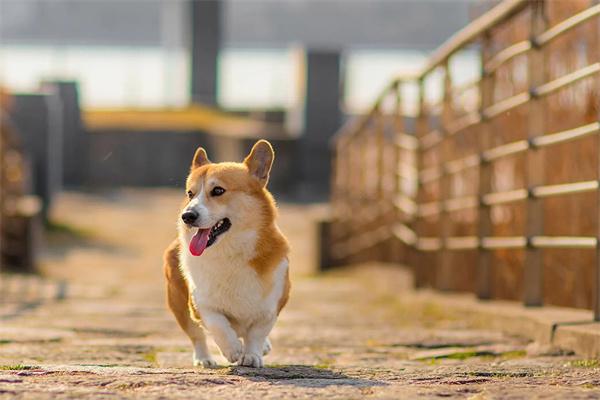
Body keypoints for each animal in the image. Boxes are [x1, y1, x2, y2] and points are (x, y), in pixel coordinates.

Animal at [162, 141, 288, 368]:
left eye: (218, 190)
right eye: (190, 194)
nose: (187, 216)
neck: (230, 250)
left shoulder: (271, 307)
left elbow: (256, 333)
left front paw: (252, 355)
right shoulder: (200, 304)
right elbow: (217, 324)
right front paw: (232, 350)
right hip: (179, 307)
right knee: (197, 336)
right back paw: (204, 359)